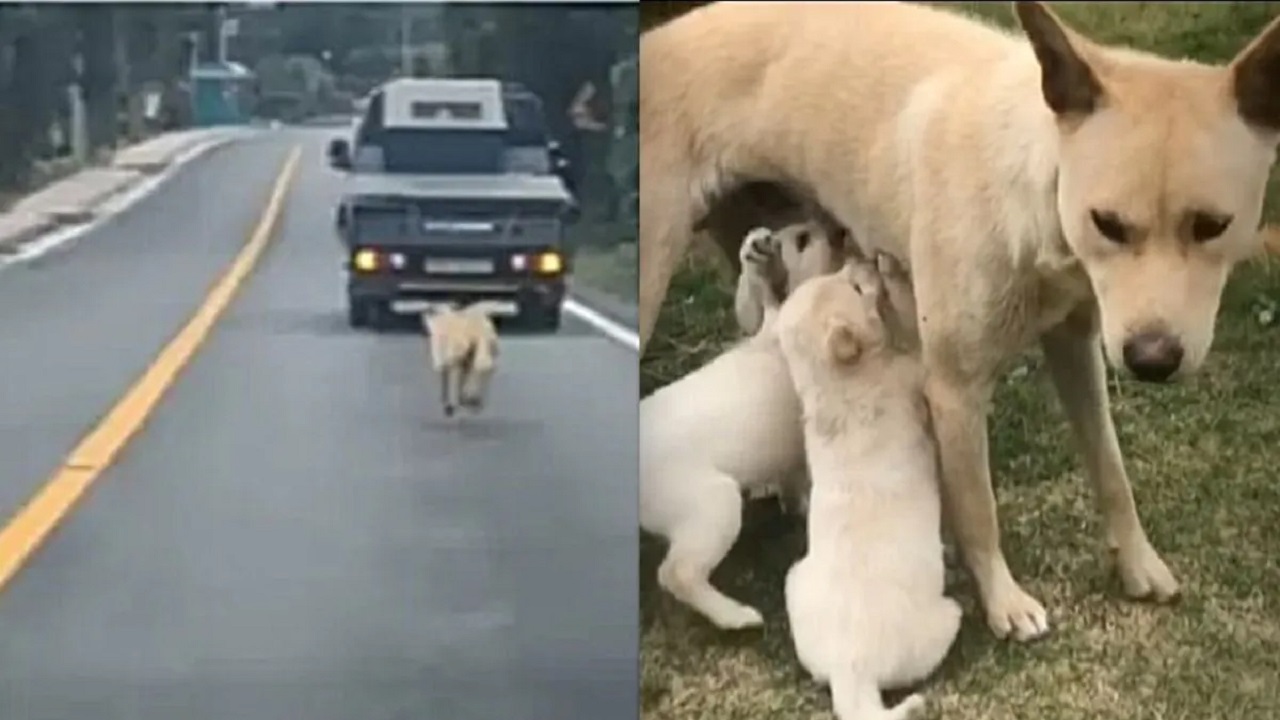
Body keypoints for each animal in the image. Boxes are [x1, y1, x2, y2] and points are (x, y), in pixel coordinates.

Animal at [640, 0, 1280, 638]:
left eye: (1212, 225)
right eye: (1107, 223)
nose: (1152, 361)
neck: (1030, 189)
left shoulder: (1077, 344)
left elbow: (1110, 469)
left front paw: (1138, 562)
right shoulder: (954, 389)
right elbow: (978, 510)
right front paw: (1002, 602)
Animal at [773, 257, 957, 717]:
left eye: (842, 276)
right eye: (856, 289)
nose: (863, 259)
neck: (836, 384)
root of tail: (850, 670)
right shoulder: (913, 373)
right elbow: (915, 342)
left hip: (794, 580)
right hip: (945, 620)